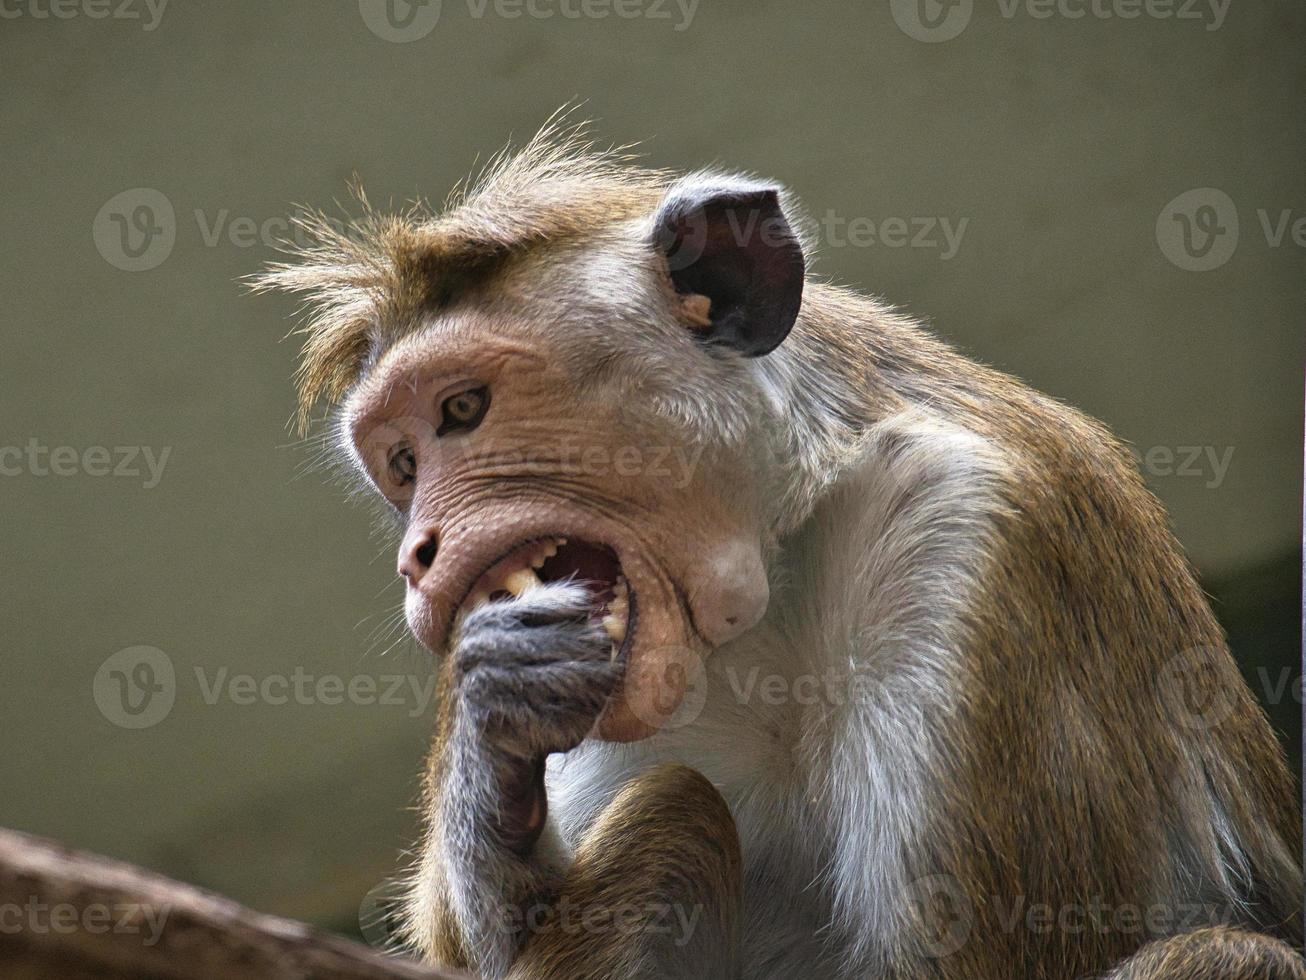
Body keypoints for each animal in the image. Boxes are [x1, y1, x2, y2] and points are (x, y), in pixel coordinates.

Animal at [249, 122, 1300, 980]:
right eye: (401, 464)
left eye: (463, 409)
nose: (420, 553)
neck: (777, 559)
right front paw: (493, 725)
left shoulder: (969, 530)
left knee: (1229, 955)